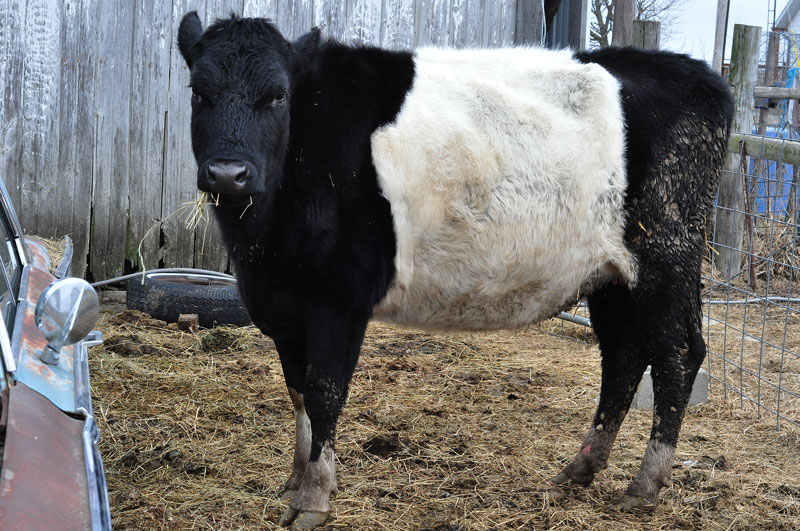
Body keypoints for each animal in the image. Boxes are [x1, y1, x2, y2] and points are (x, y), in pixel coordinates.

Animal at [177, 12, 733, 529]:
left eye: (277, 96)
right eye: (198, 92)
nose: (227, 173)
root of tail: (694, 73)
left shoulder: (339, 298)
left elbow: (323, 394)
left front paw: (314, 499)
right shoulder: (285, 304)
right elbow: (296, 393)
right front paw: (295, 481)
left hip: (665, 256)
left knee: (678, 356)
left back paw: (646, 485)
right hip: (610, 276)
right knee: (623, 358)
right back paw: (578, 470)